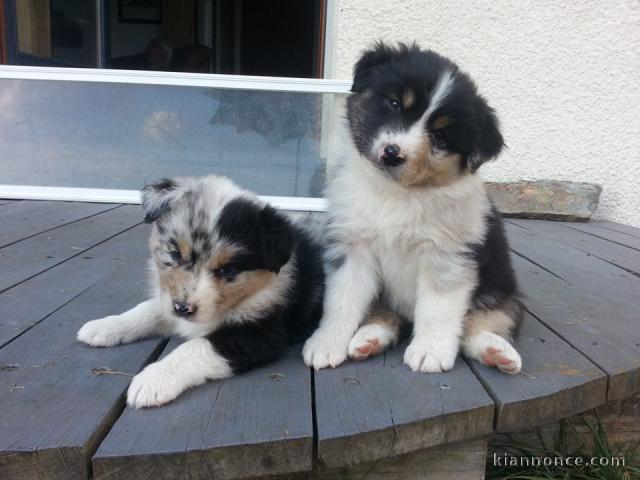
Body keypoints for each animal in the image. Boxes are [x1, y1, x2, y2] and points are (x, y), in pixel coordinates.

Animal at [77, 176, 322, 408]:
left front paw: (153, 379)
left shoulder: (262, 332)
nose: (183, 308)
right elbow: (146, 310)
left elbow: (196, 346)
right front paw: (105, 326)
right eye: (175, 253)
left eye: (229, 270)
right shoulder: (168, 301)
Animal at [302, 42, 524, 376]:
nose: (392, 154)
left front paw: (429, 351)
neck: (397, 193)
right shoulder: (353, 246)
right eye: (395, 104)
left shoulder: (448, 255)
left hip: (502, 290)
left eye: (440, 135)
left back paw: (495, 351)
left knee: (483, 323)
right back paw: (368, 339)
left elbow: (438, 309)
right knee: (385, 315)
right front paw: (327, 344)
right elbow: (342, 300)